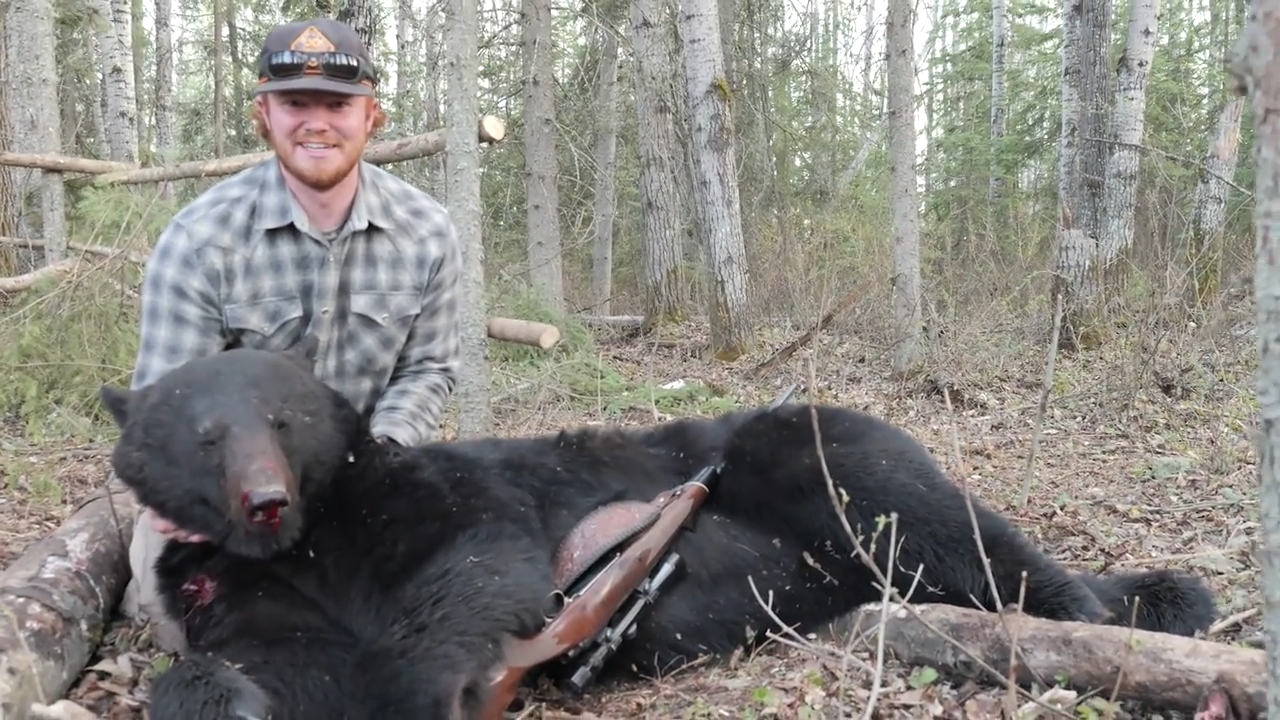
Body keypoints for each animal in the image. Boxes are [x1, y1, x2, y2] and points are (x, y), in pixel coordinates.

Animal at [98, 335, 1218, 720]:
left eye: (281, 417)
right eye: (203, 432)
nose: (265, 498)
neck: (311, 548)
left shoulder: (447, 502)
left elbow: (474, 563)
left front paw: (430, 690)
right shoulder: (248, 595)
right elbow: (277, 667)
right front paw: (221, 697)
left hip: (817, 449)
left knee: (955, 528)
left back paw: (1137, 610)